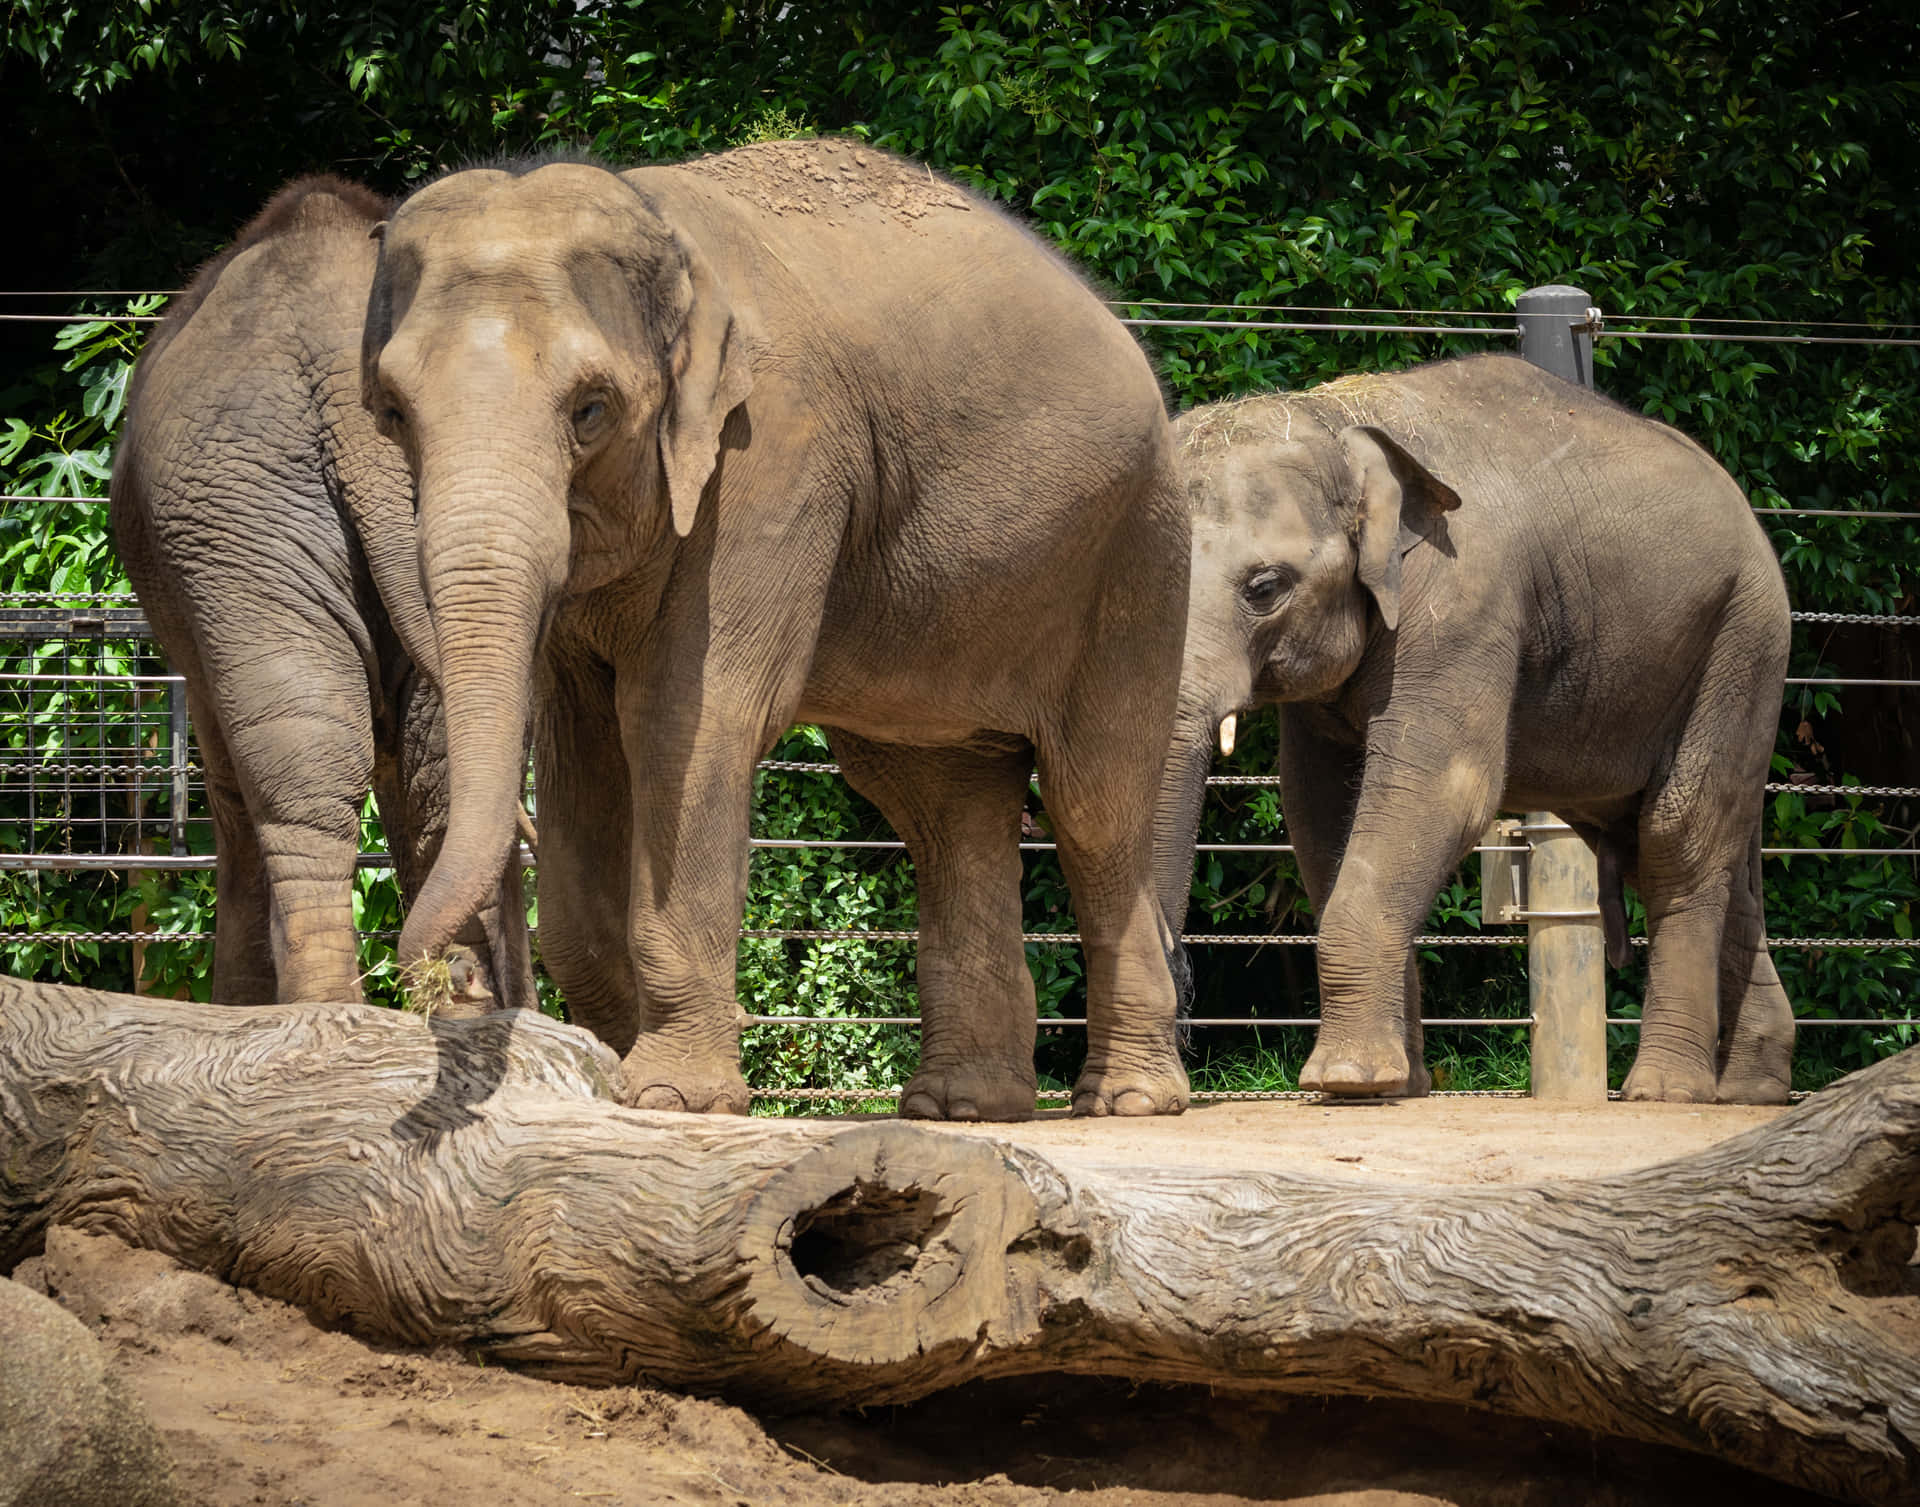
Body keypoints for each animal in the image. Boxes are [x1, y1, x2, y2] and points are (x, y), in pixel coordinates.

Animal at [111, 173, 533, 1013]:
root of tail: (347, 372)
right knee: (434, 771)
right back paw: (457, 1004)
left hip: (231, 513)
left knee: (301, 773)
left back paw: (321, 1013)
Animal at [360, 141, 1190, 1113]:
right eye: (392, 412)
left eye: (590, 409)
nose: (451, 982)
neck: (662, 231)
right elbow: (582, 741)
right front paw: (612, 1074)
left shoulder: (772, 450)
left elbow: (685, 720)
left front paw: (670, 1098)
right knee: (945, 807)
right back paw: (962, 1106)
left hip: (1138, 559)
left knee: (1094, 804)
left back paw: (1127, 1100)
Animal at [1152, 355, 1797, 1105]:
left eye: (1264, 587)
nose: (1181, 1060)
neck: (1336, 418)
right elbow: (1319, 812)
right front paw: (1398, 1085)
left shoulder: (1463, 600)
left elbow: (1440, 791)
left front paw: (1347, 1081)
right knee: (1687, 852)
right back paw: (1752, 1090)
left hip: (1741, 640)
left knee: (1678, 838)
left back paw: (1665, 1093)